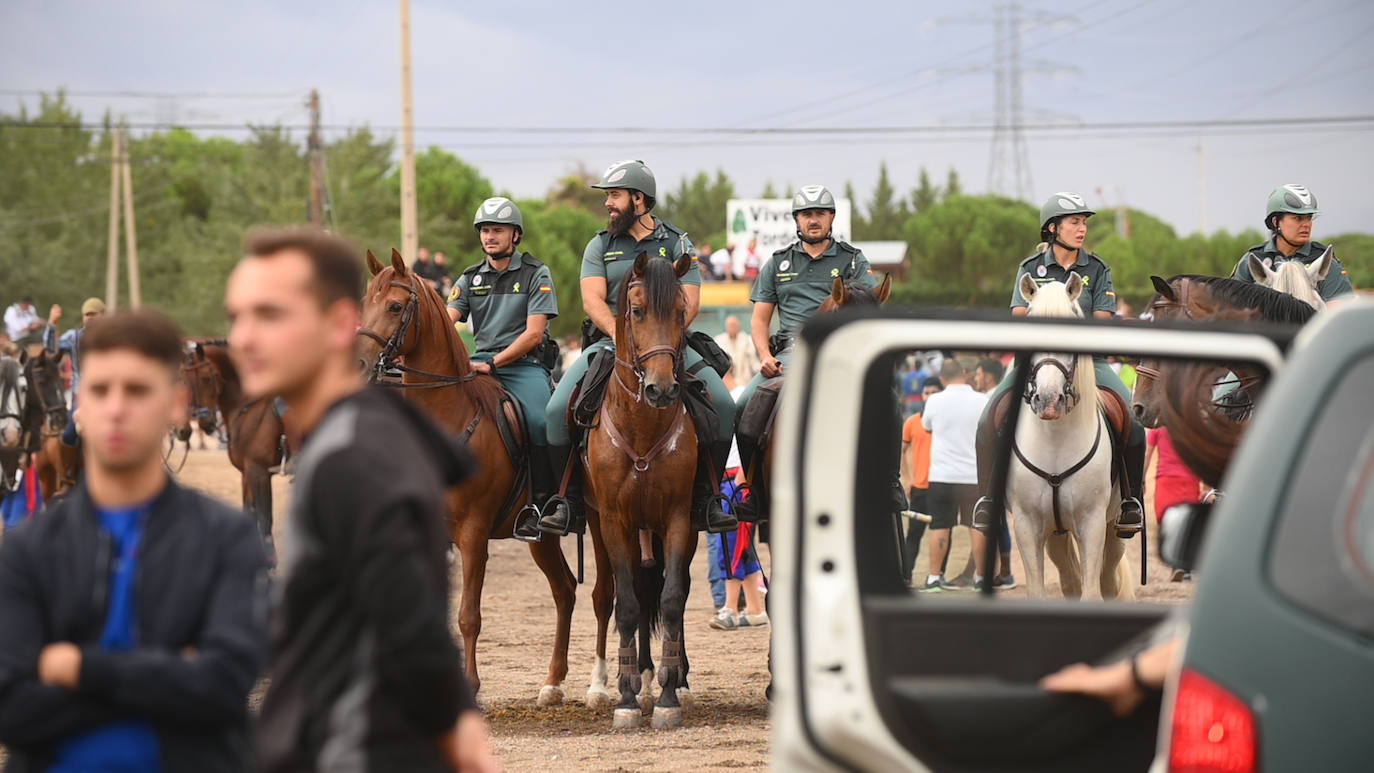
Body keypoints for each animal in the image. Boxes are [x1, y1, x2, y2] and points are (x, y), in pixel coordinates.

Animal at [357, 251, 577, 702]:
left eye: (395, 307)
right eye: (365, 302)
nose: (359, 364)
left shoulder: (473, 534)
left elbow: (468, 615)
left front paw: (470, 686)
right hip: (542, 541)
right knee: (565, 591)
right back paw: (552, 682)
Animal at [582, 254, 703, 730]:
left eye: (680, 312)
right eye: (636, 311)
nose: (662, 388)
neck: (643, 425)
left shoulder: (679, 518)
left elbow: (670, 600)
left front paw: (668, 695)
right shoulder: (615, 521)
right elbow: (629, 605)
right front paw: (627, 698)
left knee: (673, 589)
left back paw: (669, 680)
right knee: (620, 590)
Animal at [1005, 274, 1132, 601]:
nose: (1049, 401)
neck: (1055, 439)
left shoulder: (1092, 522)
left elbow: (1093, 590)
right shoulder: (1027, 523)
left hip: (1113, 524)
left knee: (1108, 577)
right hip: (1055, 533)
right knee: (1070, 578)